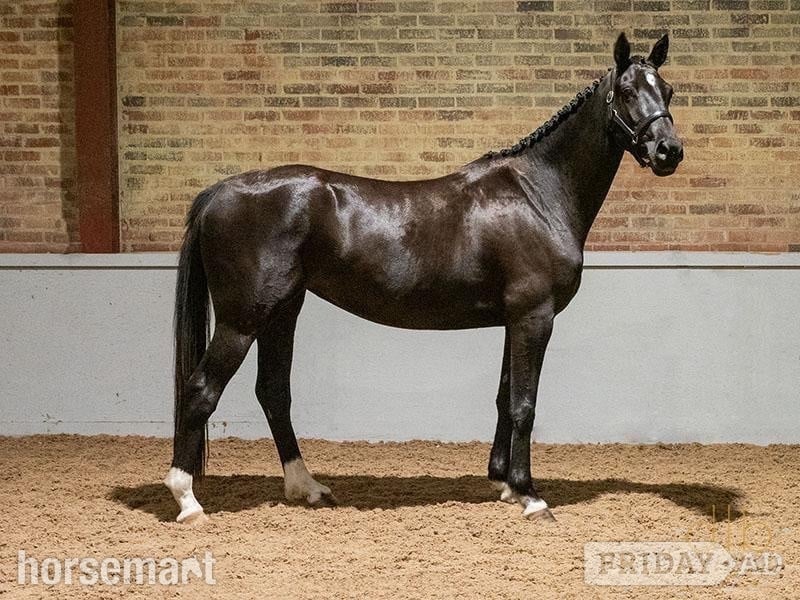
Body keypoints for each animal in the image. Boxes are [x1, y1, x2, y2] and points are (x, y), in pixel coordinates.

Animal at [164, 33, 683, 523]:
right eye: (627, 91)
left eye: (669, 91)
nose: (668, 151)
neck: (537, 194)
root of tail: (219, 192)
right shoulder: (535, 316)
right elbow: (524, 404)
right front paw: (531, 496)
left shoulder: (515, 319)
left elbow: (504, 397)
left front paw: (505, 484)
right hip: (243, 319)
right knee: (201, 390)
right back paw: (187, 499)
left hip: (282, 311)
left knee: (273, 391)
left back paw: (306, 487)